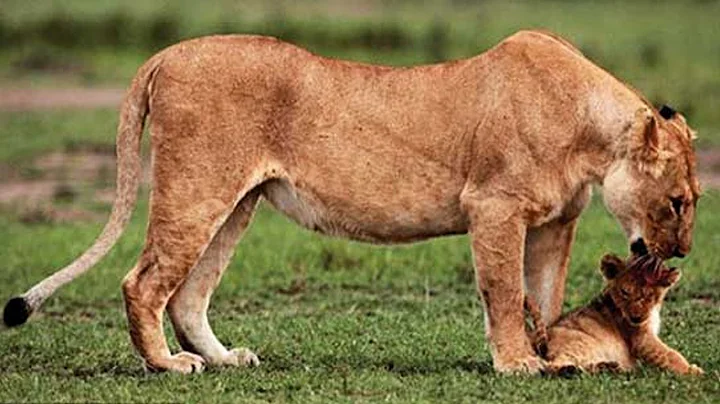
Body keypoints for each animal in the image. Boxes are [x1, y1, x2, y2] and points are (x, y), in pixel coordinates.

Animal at [525, 254, 703, 375]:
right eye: (625, 292)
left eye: (648, 295)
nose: (635, 318)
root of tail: (533, 337)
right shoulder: (642, 339)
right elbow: (669, 354)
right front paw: (692, 370)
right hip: (580, 343)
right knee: (549, 367)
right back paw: (573, 370)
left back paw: (610, 367)